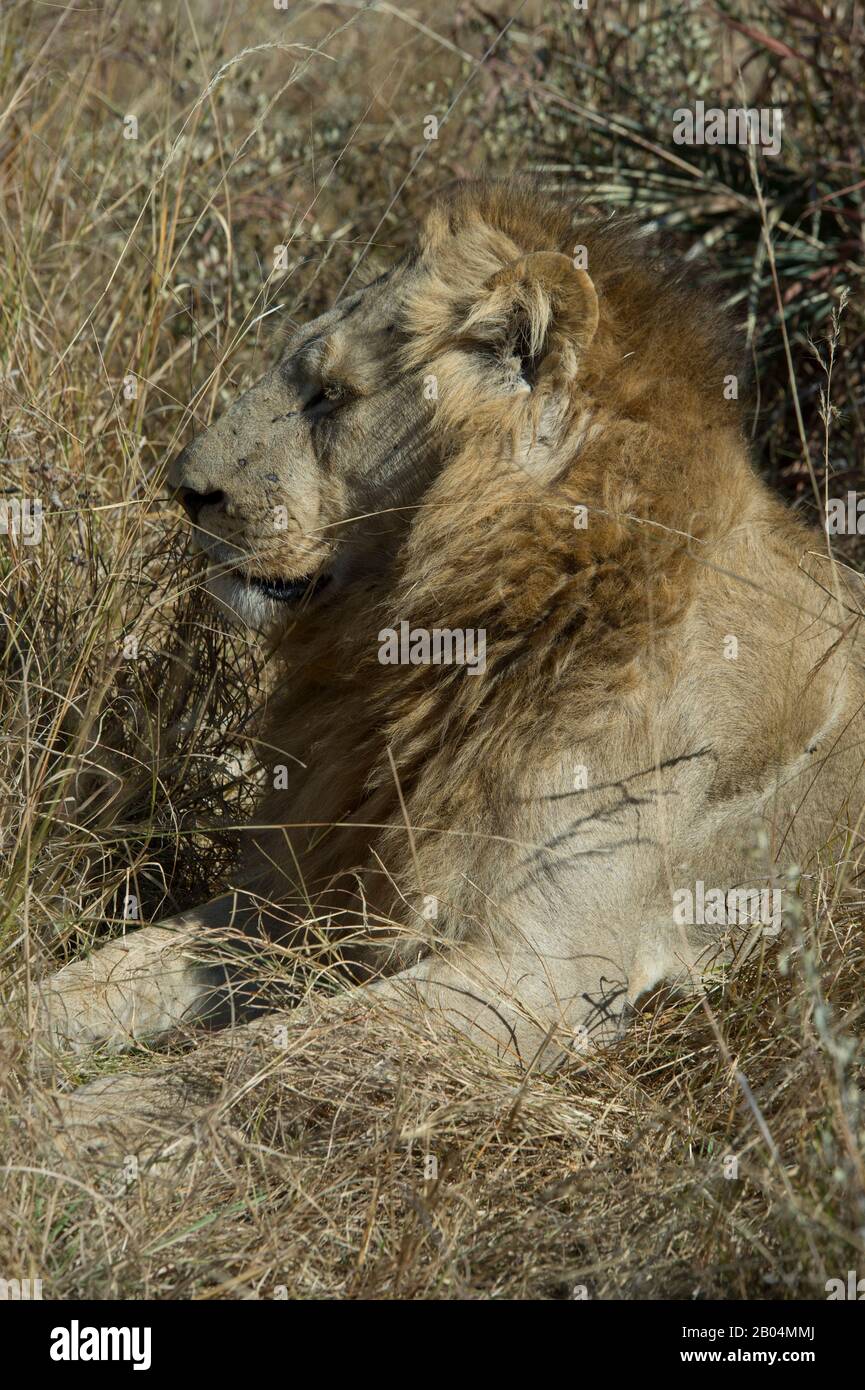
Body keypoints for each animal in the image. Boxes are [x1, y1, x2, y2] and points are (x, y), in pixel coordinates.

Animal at [37, 179, 865, 1067]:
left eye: (331, 394)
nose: (183, 490)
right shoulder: (303, 892)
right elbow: (107, 975)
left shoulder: (541, 972)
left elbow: (240, 1065)